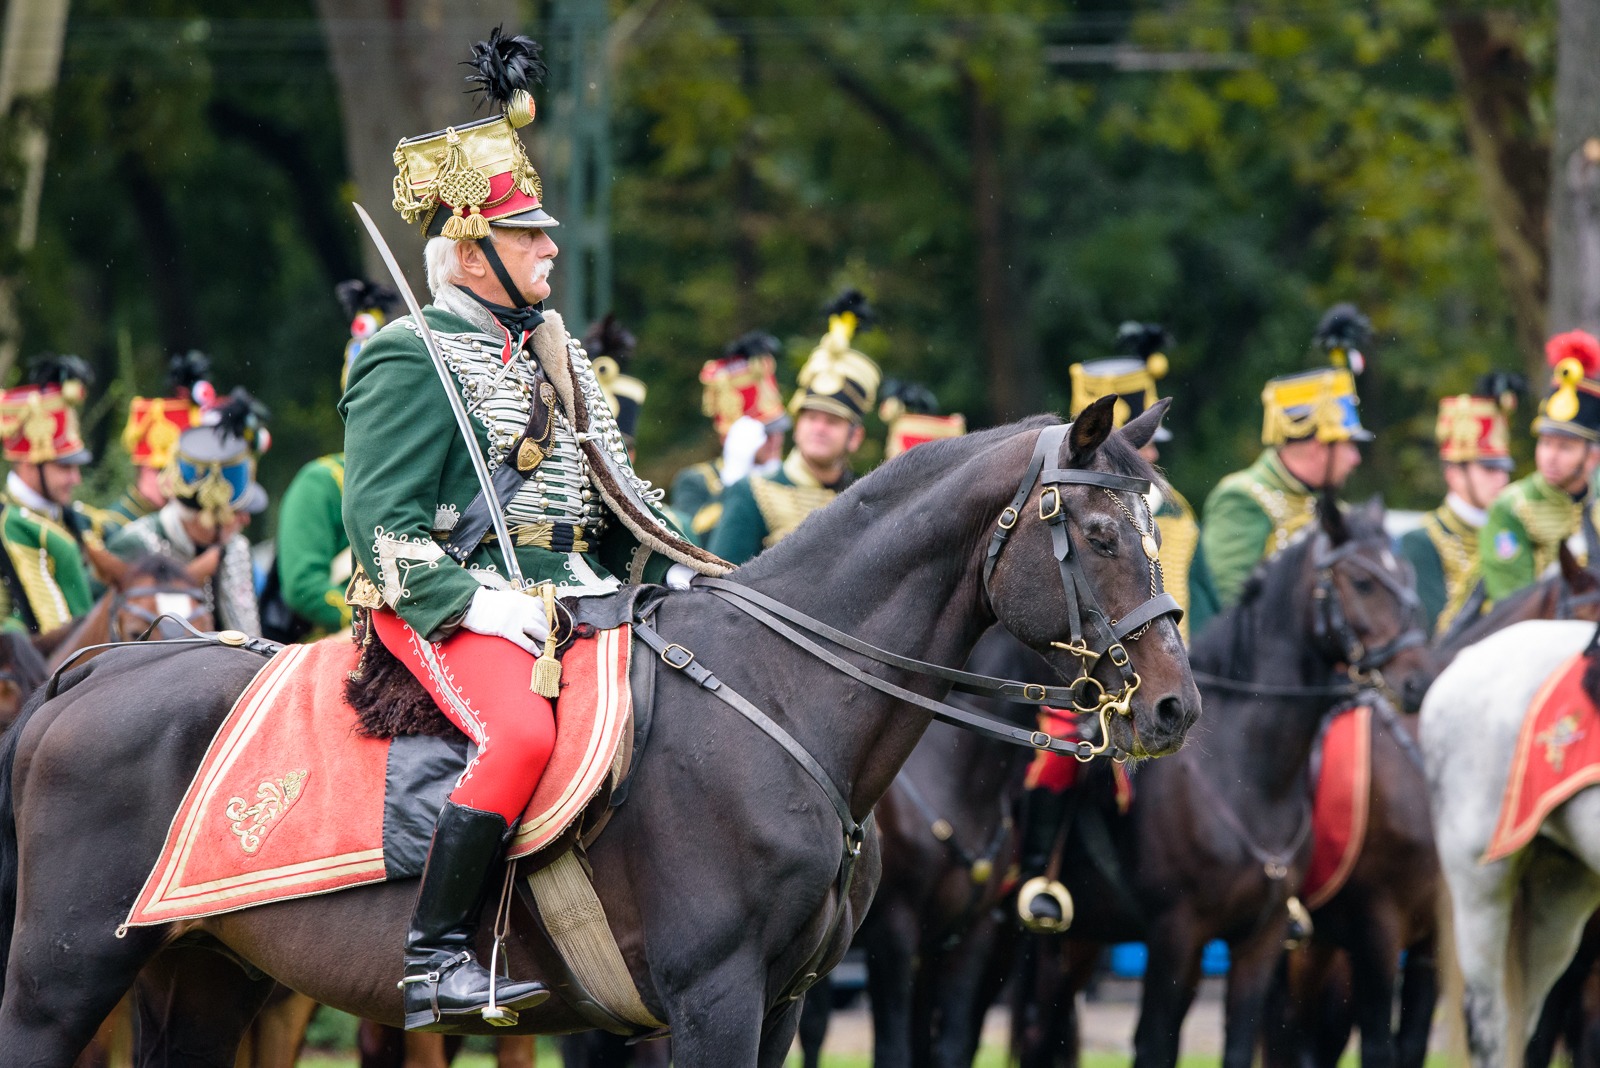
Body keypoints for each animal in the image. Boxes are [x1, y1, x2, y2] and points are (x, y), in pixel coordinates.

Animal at [0, 402, 1201, 1068]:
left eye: (1155, 526)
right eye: (1099, 533)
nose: (1173, 707)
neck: (781, 696)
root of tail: (99, 668)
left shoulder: (779, 1005)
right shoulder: (714, 998)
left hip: (207, 972)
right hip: (63, 978)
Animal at [1010, 497, 1428, 1068]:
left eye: (1406, 576)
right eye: (1363, 582)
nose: (1419, 679)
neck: (1248, 777)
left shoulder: (1259, 941)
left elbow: (1239, 1043)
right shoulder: (1175, 935)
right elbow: (1154, 1044)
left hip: (1084, 939)